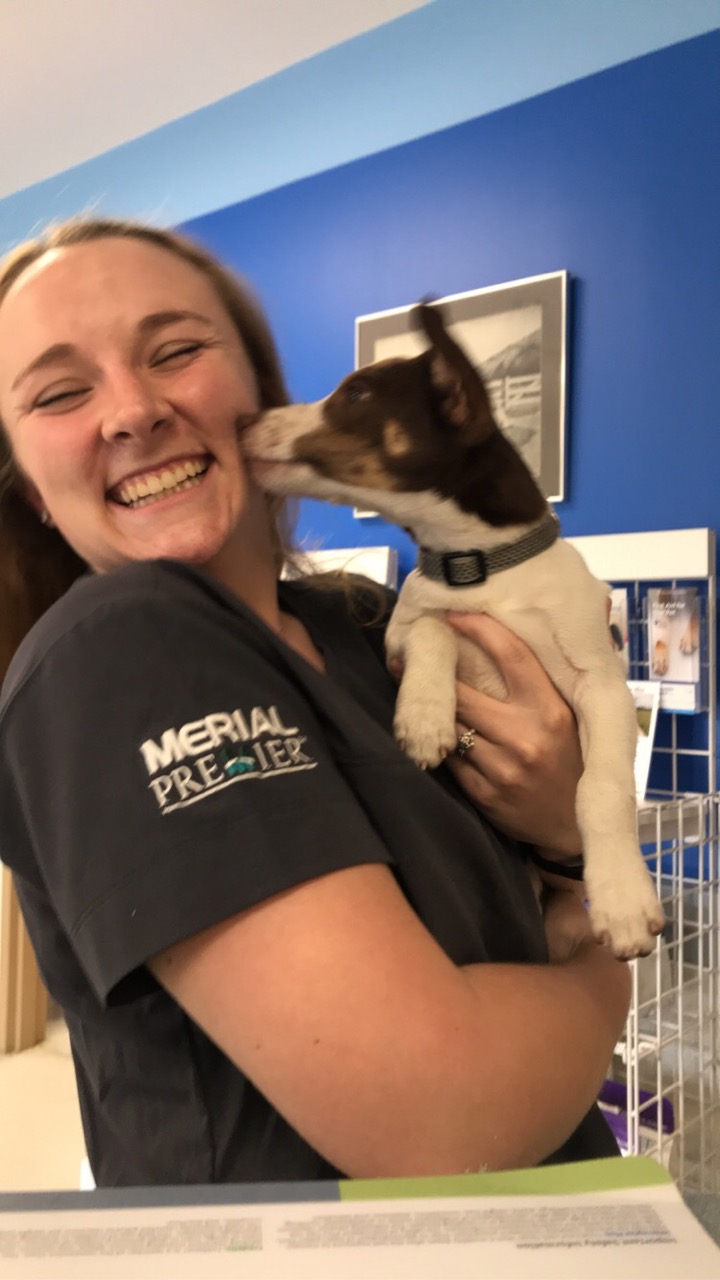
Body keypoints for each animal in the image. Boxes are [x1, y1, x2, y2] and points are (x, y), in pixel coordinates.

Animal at [243, 304, 665, 959]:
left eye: (357, 393)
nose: (245, 418)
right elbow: (434, 629)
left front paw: (622, 899)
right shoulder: (399, 636)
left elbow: (600, 789)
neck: (477, 566)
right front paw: (424, 716)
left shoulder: (602, 687)